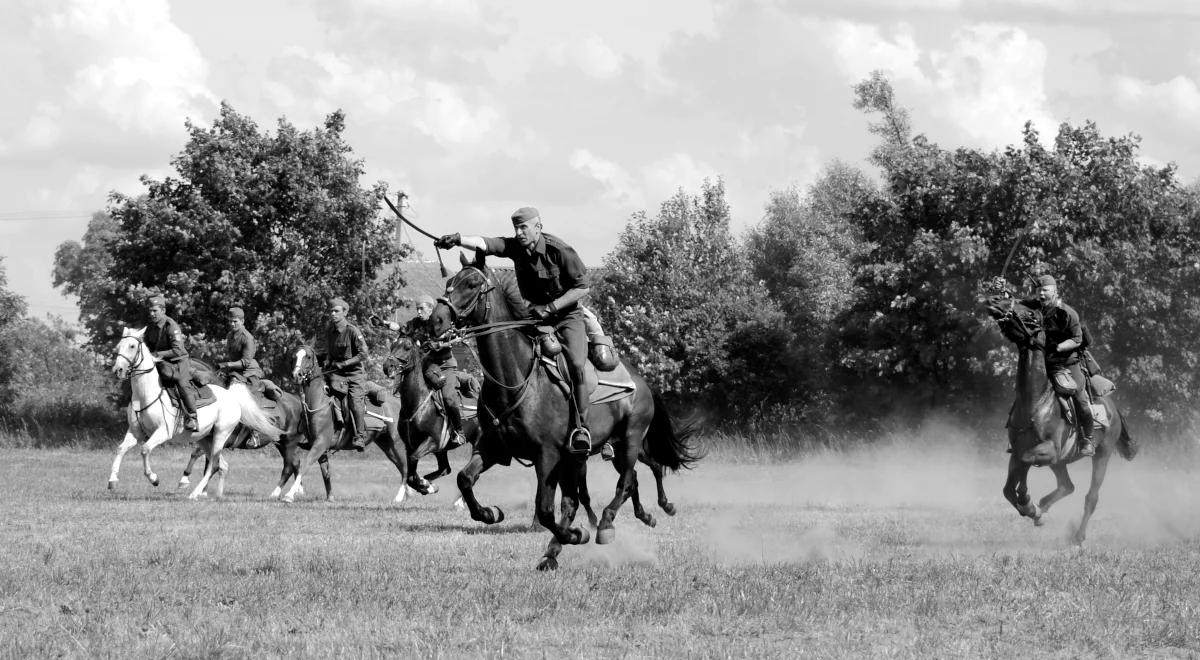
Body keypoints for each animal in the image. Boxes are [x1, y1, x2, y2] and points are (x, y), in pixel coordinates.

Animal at [108, 326, 285, 501]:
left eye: (132, 346)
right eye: (118, 346)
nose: (118, 369)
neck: (145, 395)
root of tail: (232, 398)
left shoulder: (163, 432)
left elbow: (145, 450)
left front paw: (154, 478)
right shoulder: (135, 432)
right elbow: (120, 449)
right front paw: (112, 480)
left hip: (221, 434)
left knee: (214, 464)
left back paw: (194, 493)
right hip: (205, 438)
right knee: (221, 465)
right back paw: (212, 494)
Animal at [277, 343, 412, 504]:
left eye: (308, 357)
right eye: (293, 356)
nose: (296, 375)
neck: (319, 401)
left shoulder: (320, 443)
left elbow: (305, 466)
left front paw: (289, 495)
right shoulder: (320, 447)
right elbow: (325, 472)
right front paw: (330, 497)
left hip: (397, 443)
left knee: (405, 468)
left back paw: (399, 497)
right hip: (387, 445)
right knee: (402, 467)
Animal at [432, 250, 700, 571]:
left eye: (472, 284)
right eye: (450, 280)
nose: (436, 319)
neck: (517, 378)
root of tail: (641, 382)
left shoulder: (547, 456)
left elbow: (546, 509)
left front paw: (577, 534)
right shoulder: (493, 448)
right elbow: (465, 479)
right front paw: (490, 513)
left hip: (630, 441)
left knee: (625, 482)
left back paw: (605, 525)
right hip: (603, 451)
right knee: (627, 480)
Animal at [979, 292, 1137, 544]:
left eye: (1030, 313)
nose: (994, 300)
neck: (1036, 401)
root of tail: (1114, 409)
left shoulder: (1048, 450)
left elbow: (1025, 462)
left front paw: (1028, 502)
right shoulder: (1022, 450)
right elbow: (1008, 487)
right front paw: (1032, 509)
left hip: (1101, 455)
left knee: (1090, 497)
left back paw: (1078, 536)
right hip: (1061, 462)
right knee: (1067, 486)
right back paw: (1043, 508)